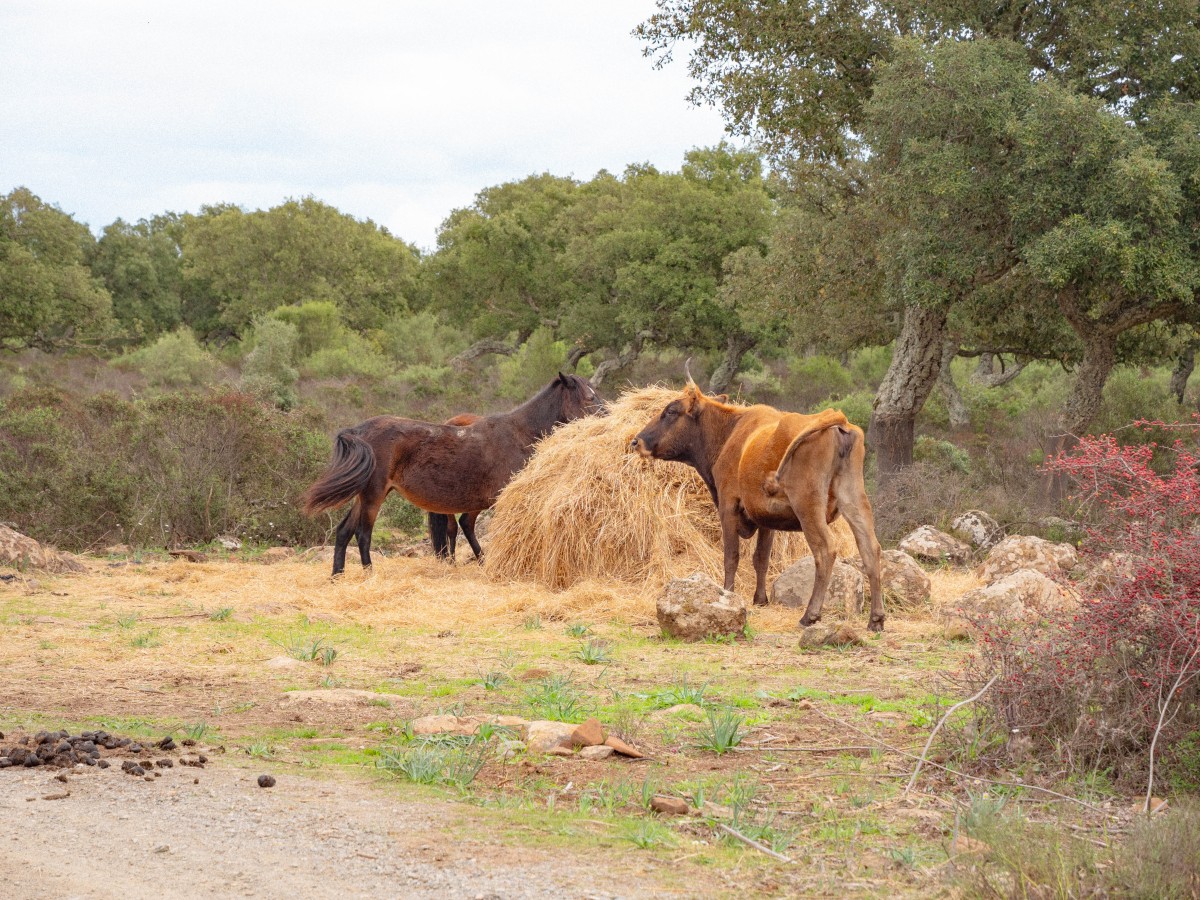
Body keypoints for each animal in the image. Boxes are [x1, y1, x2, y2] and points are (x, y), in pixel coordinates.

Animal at [300, 374, 600, 578]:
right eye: (590, 398)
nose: (605, 414)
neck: (519, 433)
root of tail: (358, 430)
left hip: (366, 495)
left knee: (344, 531)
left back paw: (337, 576)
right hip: (374, 495)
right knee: (363, 534)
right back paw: (369, 573)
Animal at [633, 381, 888, 633]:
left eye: (671, 411)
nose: (636, 441)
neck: (729, 434)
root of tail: (837, 418)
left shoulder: (728, 505)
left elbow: (731, 556)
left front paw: (728, 594)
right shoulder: (766, 518)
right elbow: (761, 558)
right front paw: (760, 599)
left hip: (808, 507)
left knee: (825, 550)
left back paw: (810, 615)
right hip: (855, 500)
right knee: (870, 548)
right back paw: (876, 619)